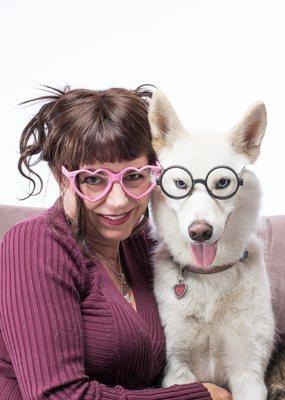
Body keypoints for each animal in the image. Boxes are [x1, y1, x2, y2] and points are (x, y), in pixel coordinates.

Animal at [149, 91, 276, 400]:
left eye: (222, 182)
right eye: (180, 183)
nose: (200, 233)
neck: (210, 276)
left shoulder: (247, 371)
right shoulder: (178, 370)